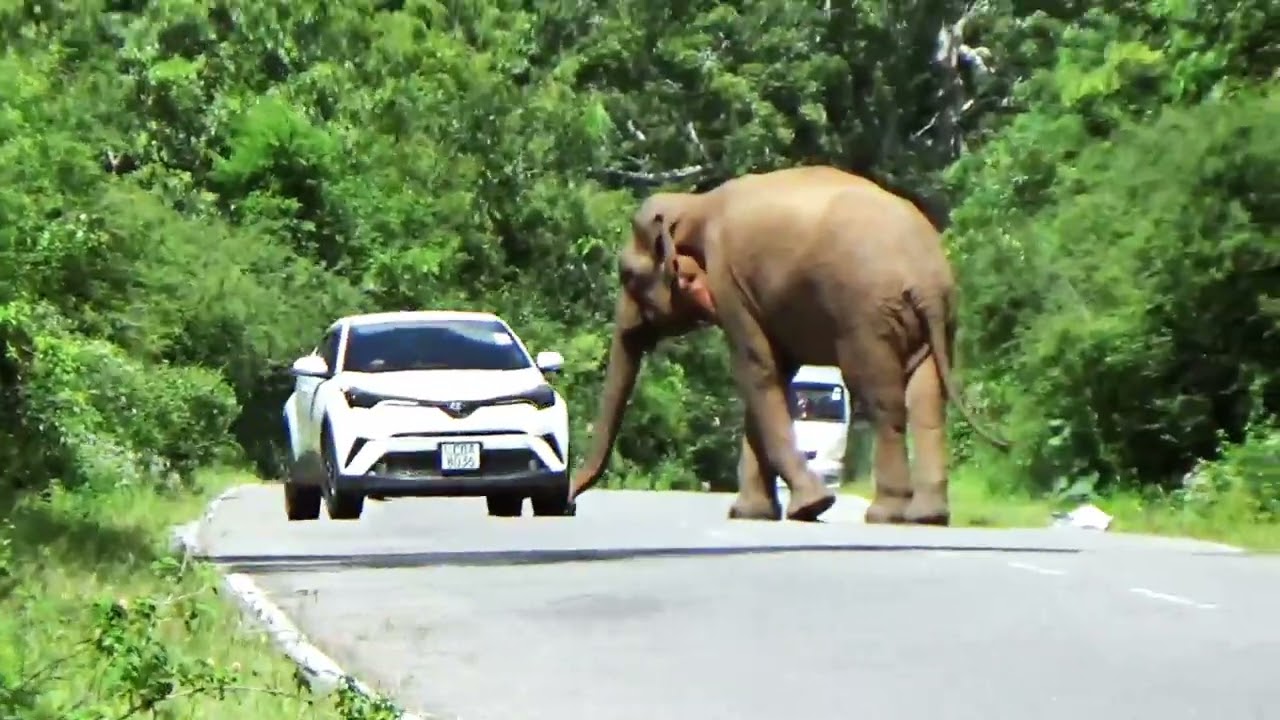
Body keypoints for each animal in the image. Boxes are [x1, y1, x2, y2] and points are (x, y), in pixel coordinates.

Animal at [569, 164, 1008, 525]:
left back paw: (885, 514)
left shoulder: (730, 279)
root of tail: (927, 277)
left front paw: (811, 506)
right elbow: (774, 374)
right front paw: (750, 513)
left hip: (865, 316)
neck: (694, 204)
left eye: (627, 276)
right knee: (928, 400)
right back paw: (928, 517)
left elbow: (756, 370)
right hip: (939, 319)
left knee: (882, 397)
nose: (569, 501)